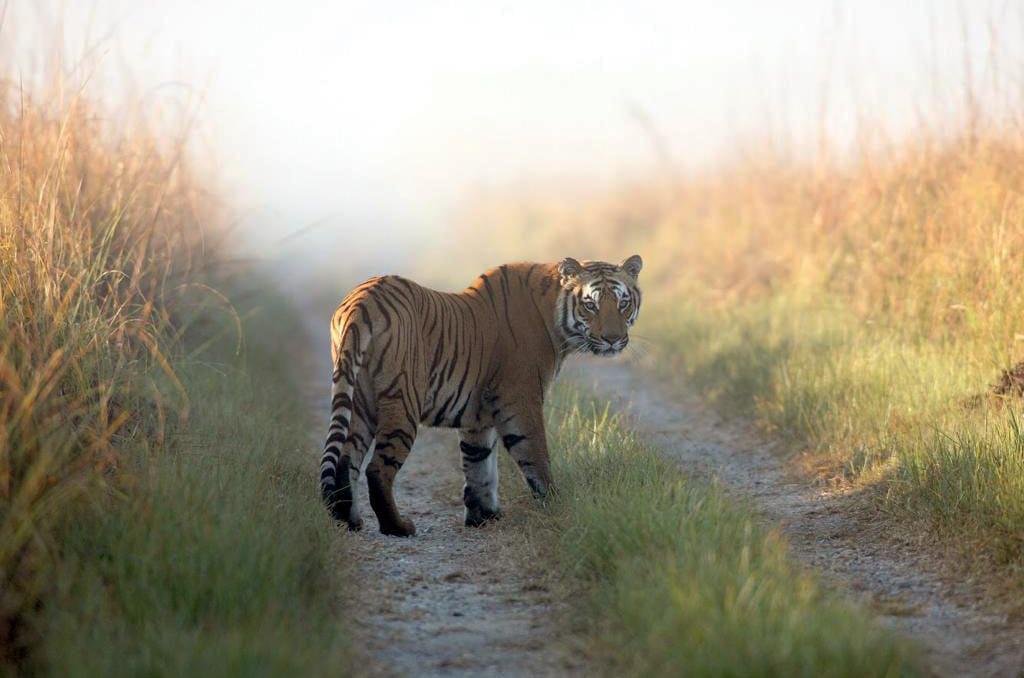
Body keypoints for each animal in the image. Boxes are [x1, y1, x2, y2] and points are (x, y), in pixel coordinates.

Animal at [319, 255, 643, 536]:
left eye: (623, 303)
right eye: (590, 305)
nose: (613, 339)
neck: (553, 314)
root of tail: (360, 302)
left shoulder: (478, 415)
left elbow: (479, 464)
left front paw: (482, 517)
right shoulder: (521, 400)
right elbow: (535, 456)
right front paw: (556, 505)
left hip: (360, 401)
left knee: (346, 460)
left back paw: (349, 520)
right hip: (402, 402)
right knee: (377, 469)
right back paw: (397, 527)